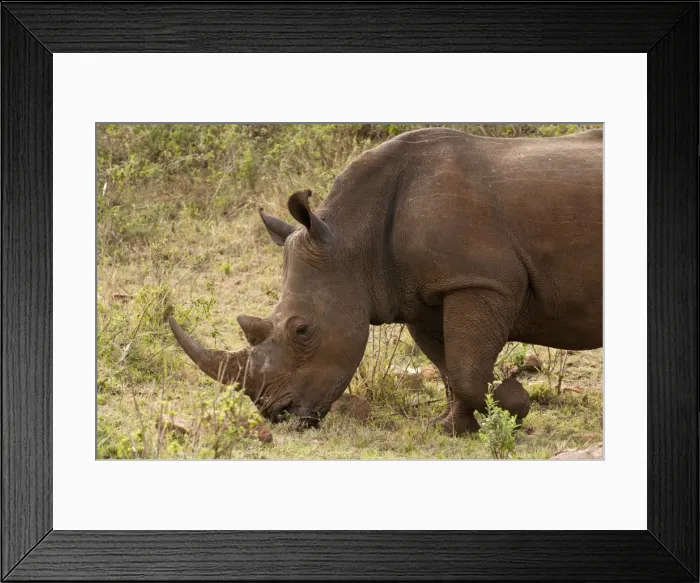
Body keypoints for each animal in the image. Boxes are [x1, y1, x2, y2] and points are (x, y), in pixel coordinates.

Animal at [170, 127, 602, 434]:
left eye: (302, 331)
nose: (279, 415)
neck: (352, 238)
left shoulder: (480, 281)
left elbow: (466, 369)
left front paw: (514, 401)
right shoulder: (422, 295)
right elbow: (449, 365)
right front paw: (450, 429)